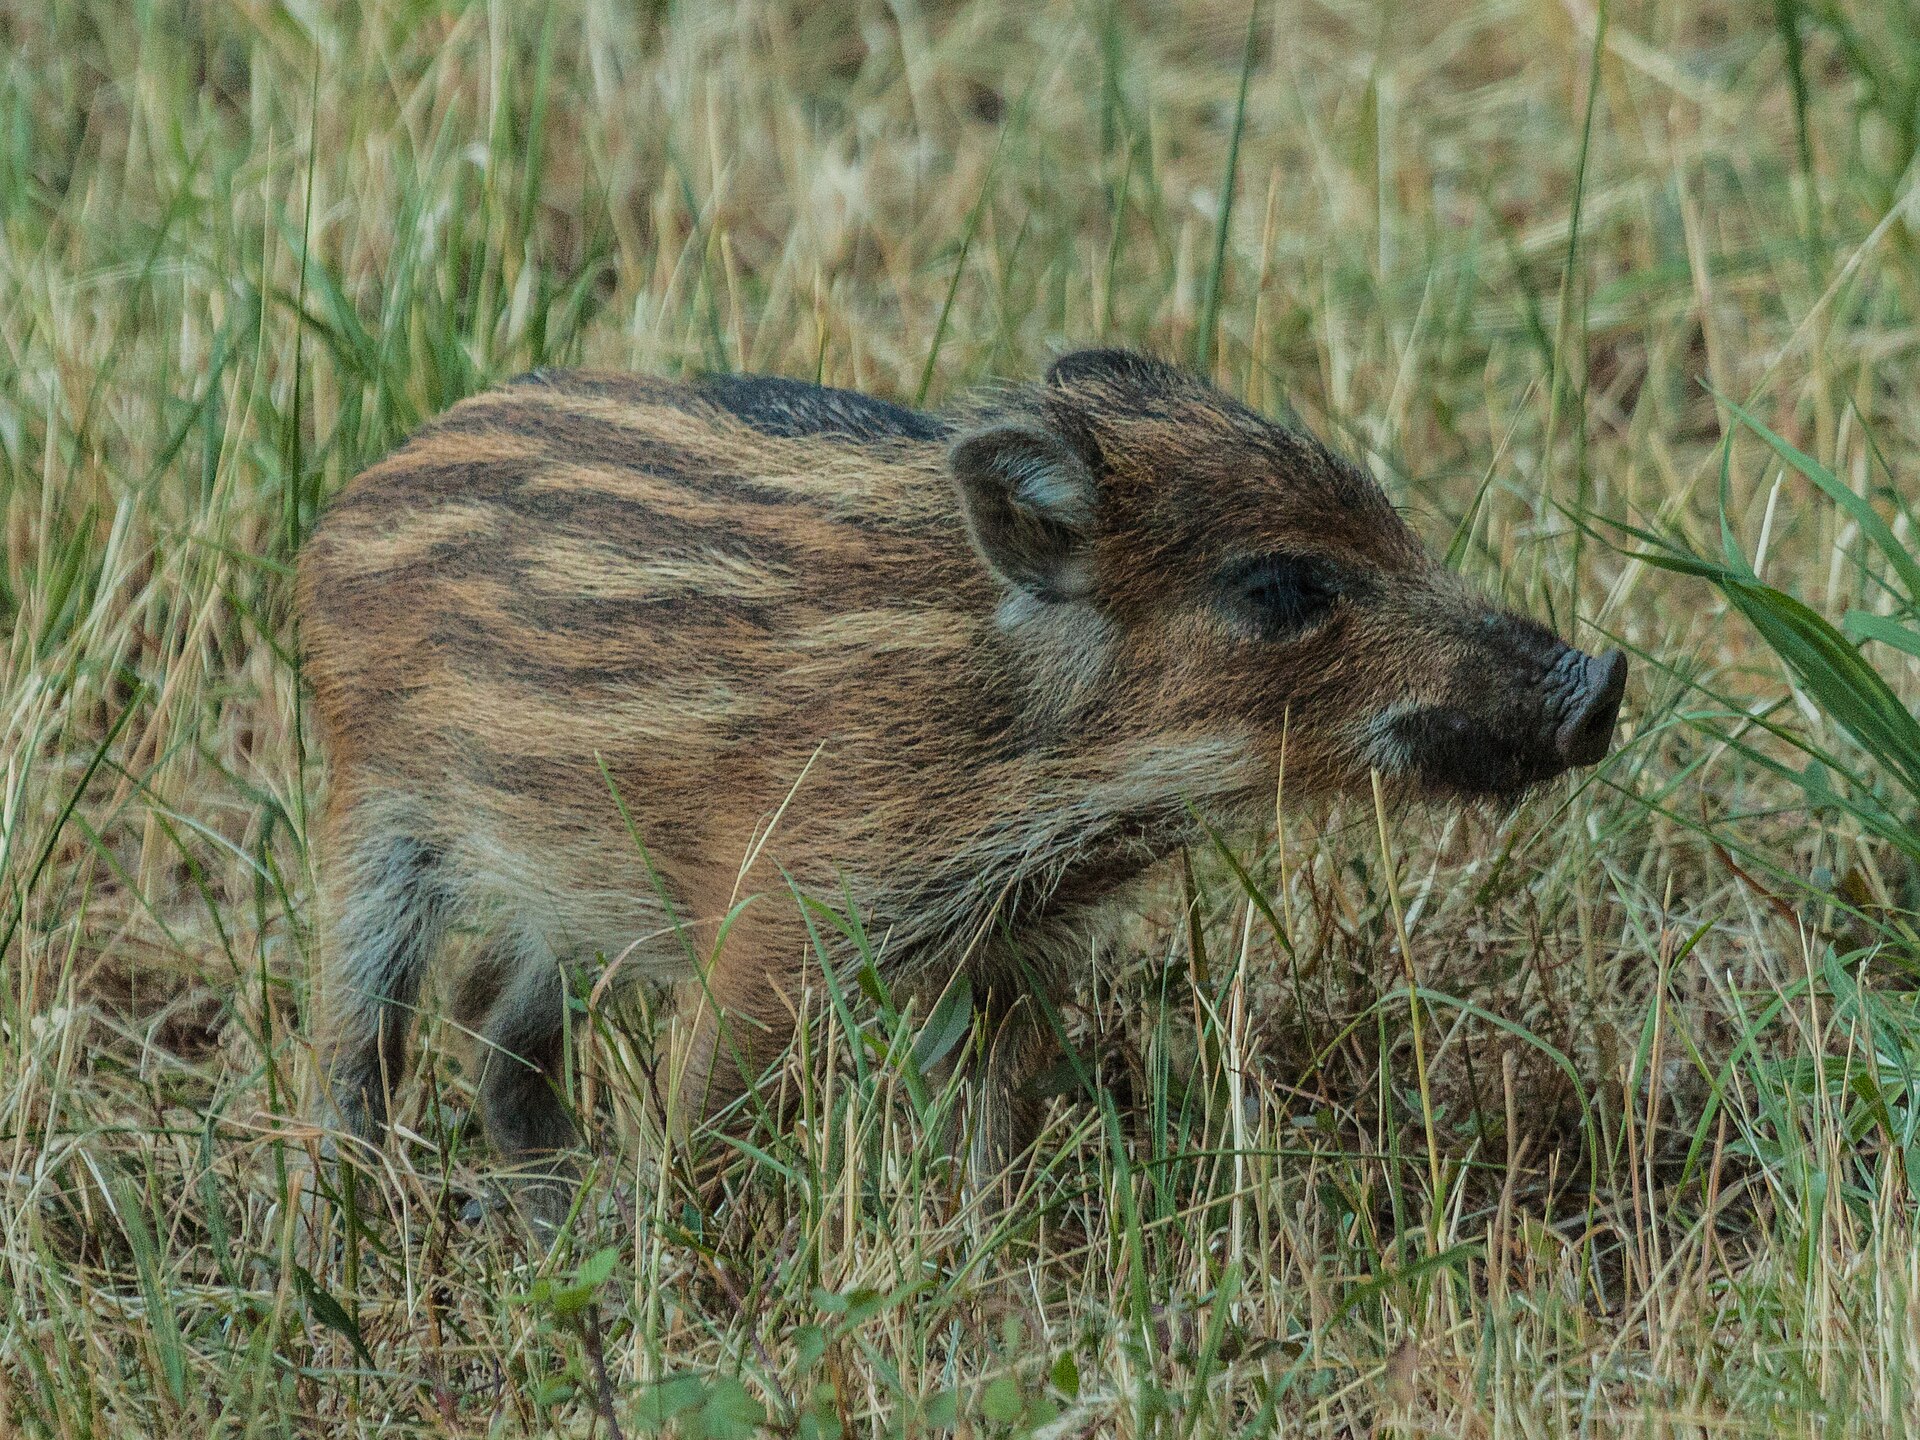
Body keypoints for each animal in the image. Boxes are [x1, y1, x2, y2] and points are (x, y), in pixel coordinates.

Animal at [296, 348, 1625, 1219]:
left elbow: (1002, 1106)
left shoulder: (1011, 941)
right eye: (1279, 587)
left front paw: (996, 1251)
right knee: (358, 1043)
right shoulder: (782, 917)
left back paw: (548, 1206)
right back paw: (346, 1232)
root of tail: (346, 506)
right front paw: (673, 1254)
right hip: (375, 806)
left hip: (567, 877)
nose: (1601, 678)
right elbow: (709, 1104)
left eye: (1392, 525)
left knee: (489, 1002)